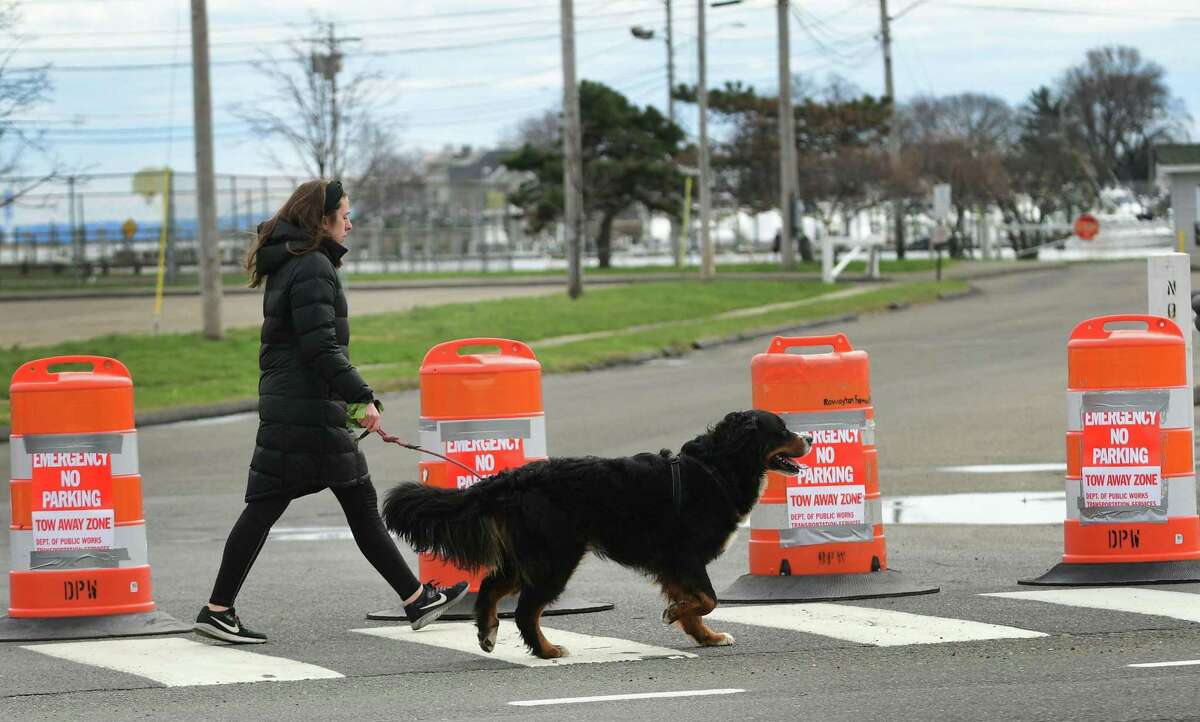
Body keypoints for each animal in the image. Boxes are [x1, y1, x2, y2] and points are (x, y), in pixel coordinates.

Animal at [384, 407, 816, 657]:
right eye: (782, 430)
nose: (811, 437)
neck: (717, 467)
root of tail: (514, 478)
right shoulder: (684, 556)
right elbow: (707, 599)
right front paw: (676, 614)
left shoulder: (675, 565)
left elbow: (699, 607)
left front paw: (706, 636)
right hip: (555, 558)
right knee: (525, 610)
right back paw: (547, 650)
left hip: (534, 556)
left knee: (491, 586)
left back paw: (489, 633)